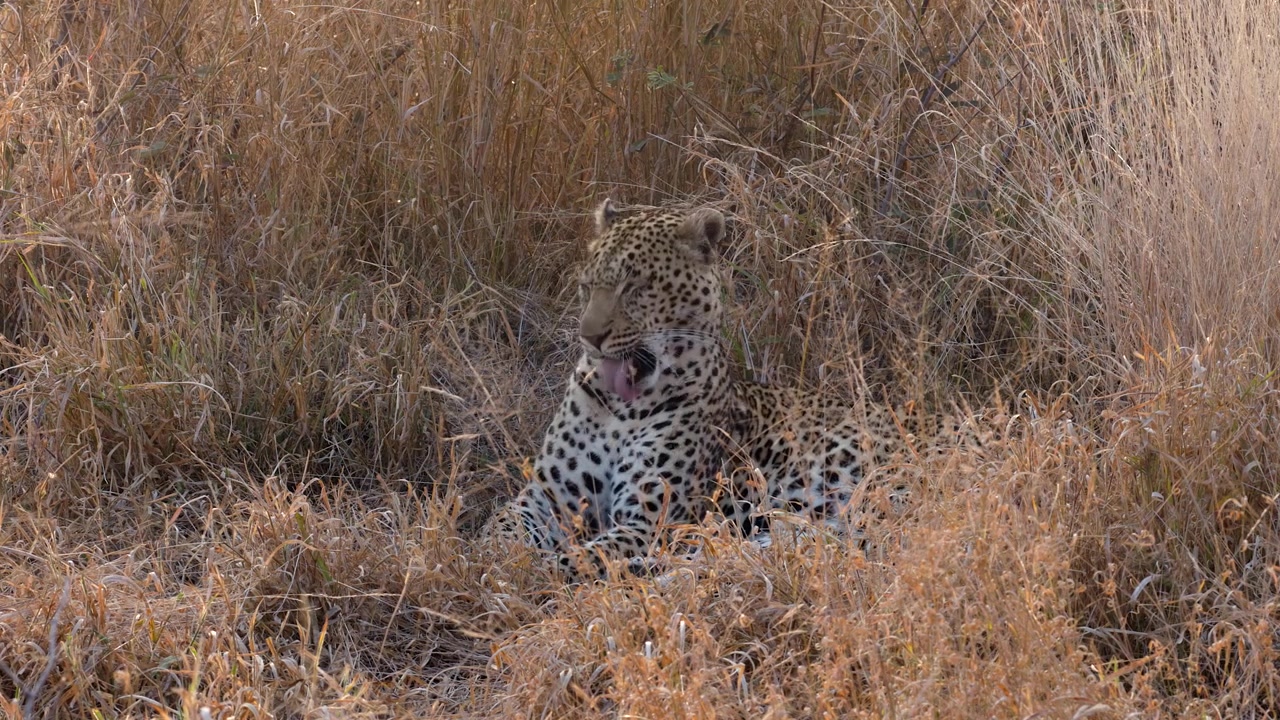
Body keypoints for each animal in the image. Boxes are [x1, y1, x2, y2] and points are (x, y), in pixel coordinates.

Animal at [487, 200, 989, 579]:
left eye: (636, 285)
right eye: (586, 285)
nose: (588, 337)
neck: (619, 410)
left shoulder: (651, 521)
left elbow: (575, 558)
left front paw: (524, 578)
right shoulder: (545, 497)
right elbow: (498, 533)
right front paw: (489, 564)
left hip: (878, 491)